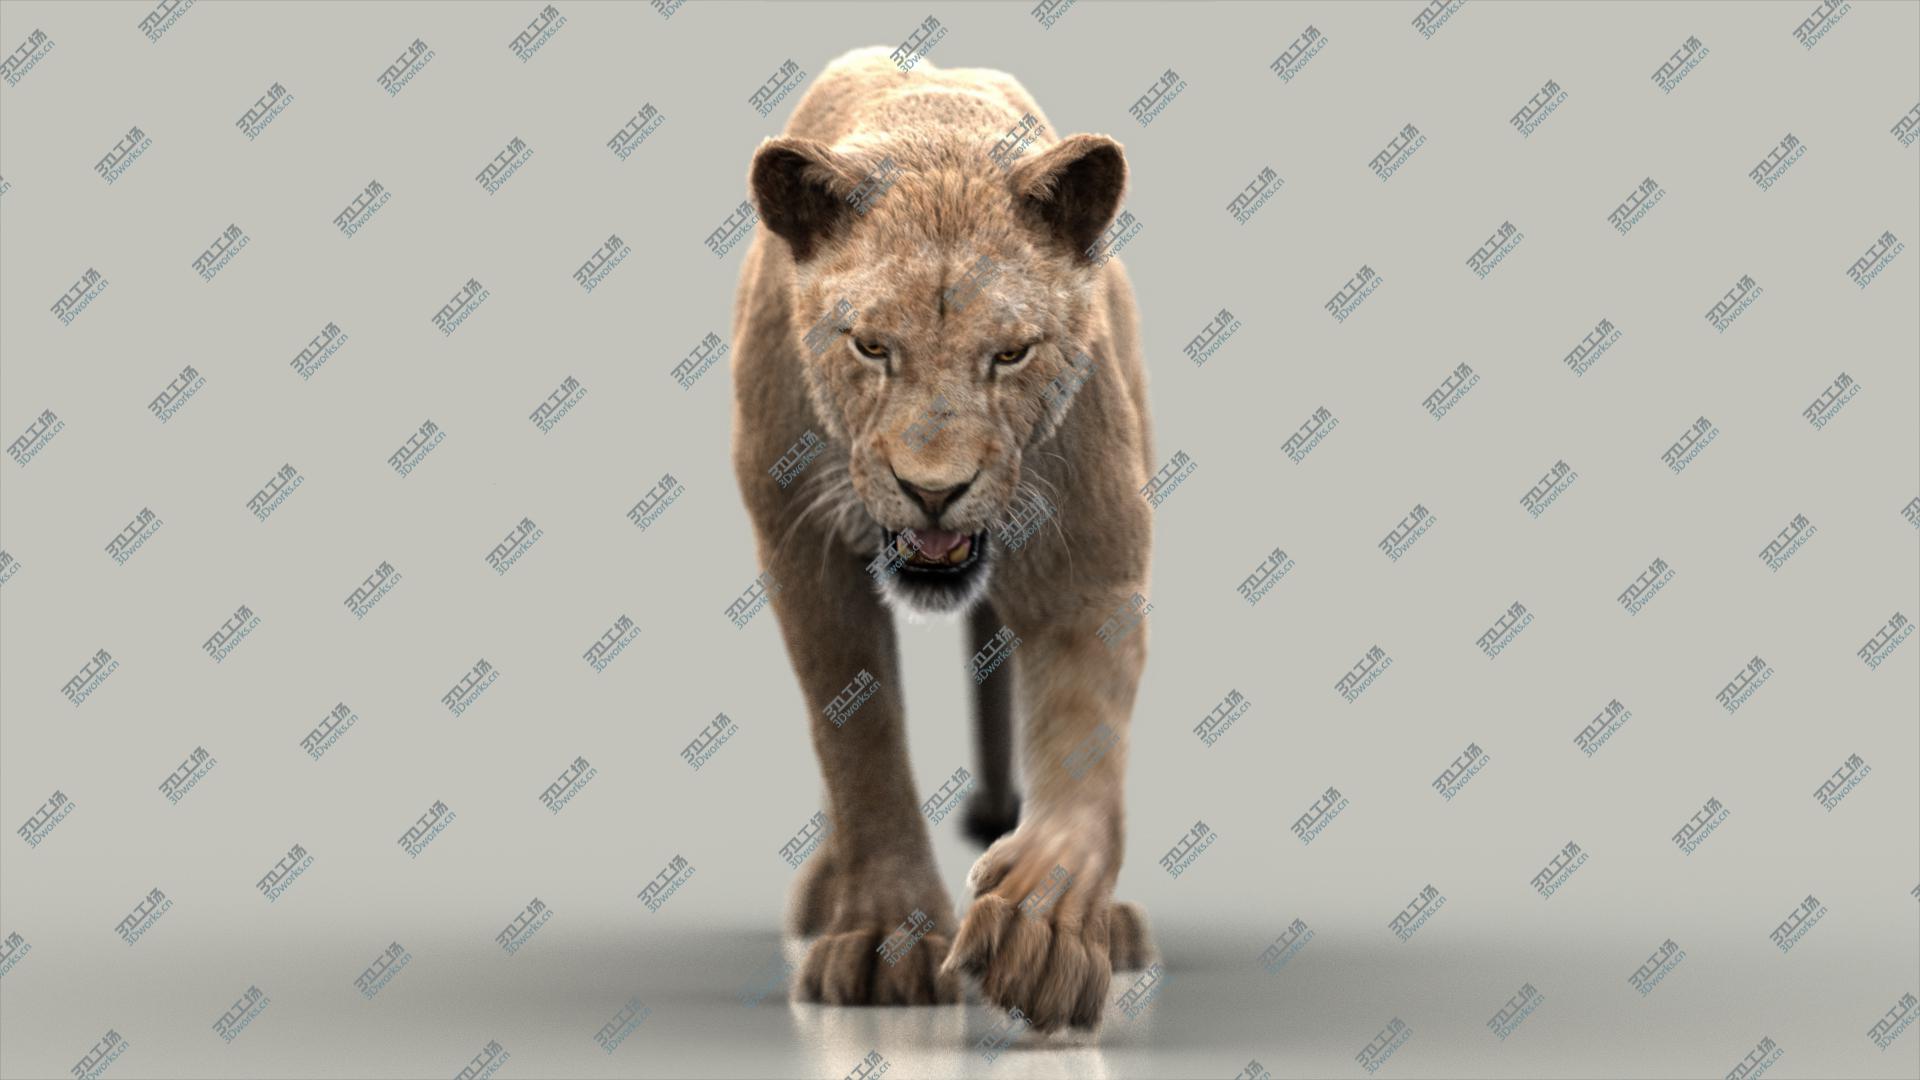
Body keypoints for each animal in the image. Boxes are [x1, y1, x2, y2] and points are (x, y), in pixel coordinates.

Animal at [728, 45, 1154, 1032]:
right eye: (871, 347)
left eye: (1011, 353)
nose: (934, 492)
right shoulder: (803, 554)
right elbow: (860, 745)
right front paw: (885, 935)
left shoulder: (1090, 552)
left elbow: (1085, 736)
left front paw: (1042, 928)